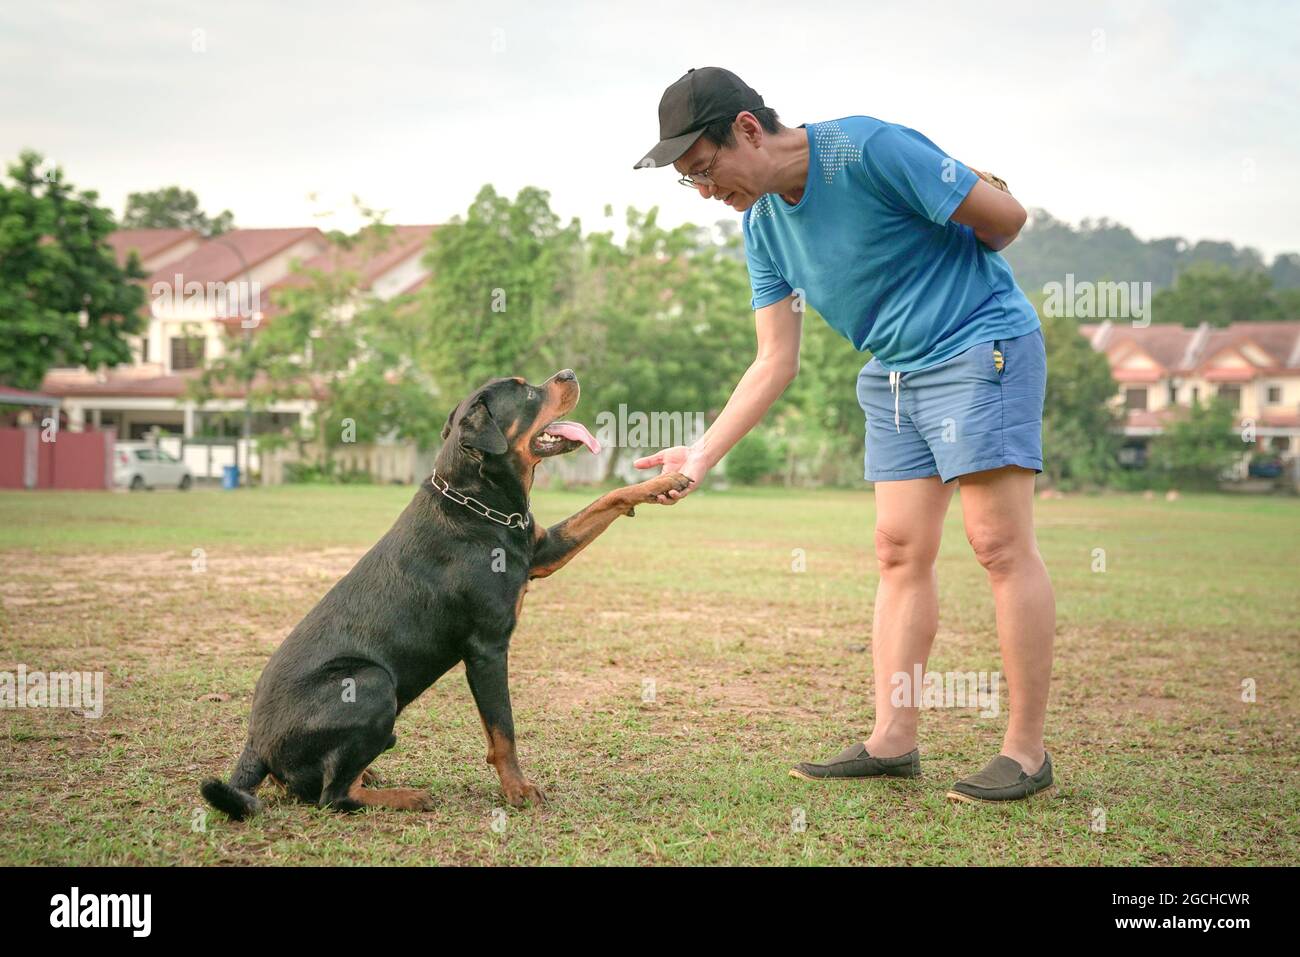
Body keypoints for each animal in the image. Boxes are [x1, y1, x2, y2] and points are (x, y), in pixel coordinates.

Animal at [202, 369, 691, 816]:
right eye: (527, 392)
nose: (568, 374)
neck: (480, 503)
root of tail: (254, 743)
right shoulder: (487, 648)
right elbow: (504, 729)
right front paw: (518, 791)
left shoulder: (542, 550)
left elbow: (608, 498)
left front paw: (663, 481)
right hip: (370, 682)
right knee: (331, 797)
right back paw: (404, 796)